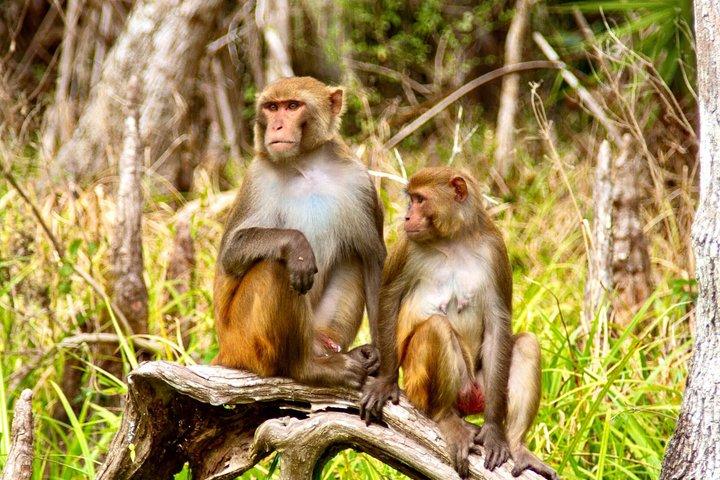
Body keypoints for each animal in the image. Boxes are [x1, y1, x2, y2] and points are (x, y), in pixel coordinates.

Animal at [212, 76, 386, 391]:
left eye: (293, 106)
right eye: (272, 107)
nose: (277, 127)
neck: (306, 165)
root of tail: (226, 350)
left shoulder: (360, 182)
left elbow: (372, 259)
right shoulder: (257, 177)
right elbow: (230, 254)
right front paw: (297, 245)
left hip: (317, 329)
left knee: (352, 257)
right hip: (245, 342)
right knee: (275, 266)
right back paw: (307, 369)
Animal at [360, 167, 558, 480]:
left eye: (419, 199)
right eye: (411, 199)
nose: (407, 218)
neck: (453, 240)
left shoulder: (495, 248)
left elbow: (499, 322)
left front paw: (494, 431)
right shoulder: (407, 246)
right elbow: (389, 298)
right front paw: (385, 381)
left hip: (484, 390)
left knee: (526, 345)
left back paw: (517, 445)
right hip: (420, 386)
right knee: (436, 329)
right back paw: (446, 418)